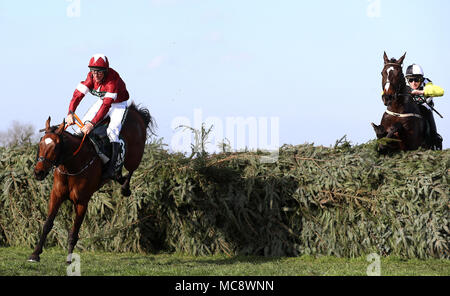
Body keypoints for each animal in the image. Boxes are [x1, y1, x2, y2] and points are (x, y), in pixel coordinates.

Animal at [28, 103, 155, 262]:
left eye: (56, 147)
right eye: (40, 143)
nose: (38, 172)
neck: (72, 165)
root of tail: (135, 111)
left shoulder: (82, 202)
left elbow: (74, 232)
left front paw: (69, 259)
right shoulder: (56, 196)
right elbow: (47, 224)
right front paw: (35, 253)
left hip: (134, 156)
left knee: (131, 169)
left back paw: (125, 188)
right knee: (119, 173)